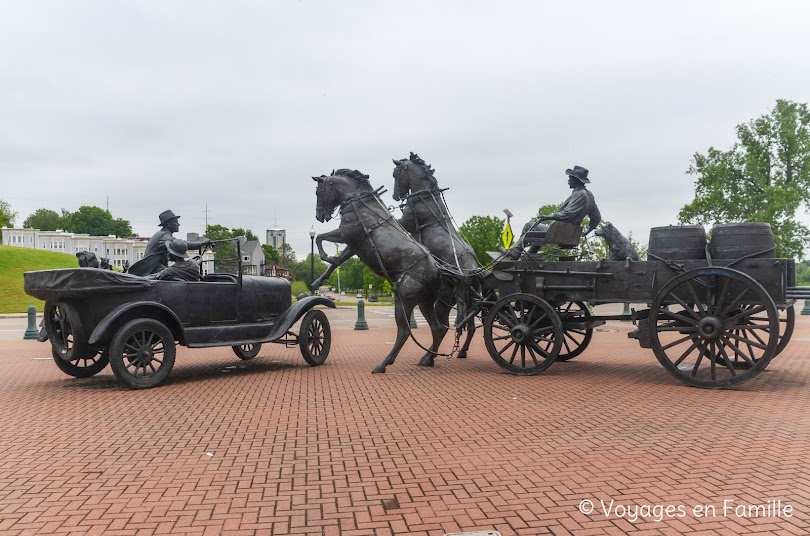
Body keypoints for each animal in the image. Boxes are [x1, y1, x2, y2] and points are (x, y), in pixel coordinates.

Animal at [310, 170, 448, 374]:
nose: (320, 215)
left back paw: (383, 364)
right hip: (424, 302)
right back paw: (427, 359)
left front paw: (325, 256)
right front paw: (319, 279)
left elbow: (320, 237)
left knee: (404, 332)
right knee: (438, 328)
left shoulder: (345, 233)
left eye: (318, 191)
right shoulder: (353, 245)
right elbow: (336, 262)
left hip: (404, 300)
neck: (357, 201)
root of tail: (437, 271)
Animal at [392, 153, 480, 358]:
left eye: (396, 173)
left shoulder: (404, 224)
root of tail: (472, 272)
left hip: (443, 302)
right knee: (469, 326)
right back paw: (461, 351)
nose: (395, 195)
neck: (425, 197)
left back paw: (429, 357)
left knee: (443, 327)